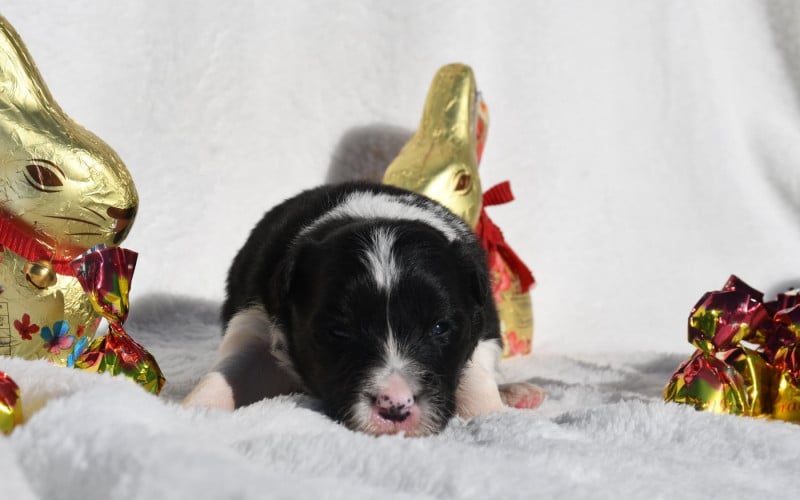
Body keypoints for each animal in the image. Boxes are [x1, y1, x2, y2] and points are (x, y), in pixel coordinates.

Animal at [184, 182, 543, 436]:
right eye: (339, 331)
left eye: (440, 328)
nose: (396, 406)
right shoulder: (256, 319)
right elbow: (227, 373)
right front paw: (192, 411)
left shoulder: (482, 325)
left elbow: (477, 381)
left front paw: (492, 414)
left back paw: (518, 392)